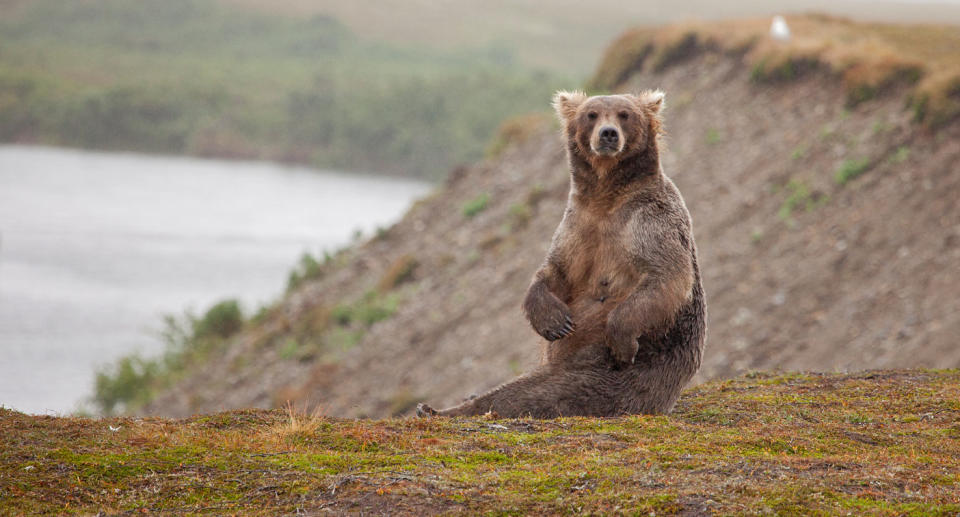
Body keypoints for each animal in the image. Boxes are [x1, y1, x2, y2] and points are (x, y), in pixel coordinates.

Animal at [418, 89, 704, 416]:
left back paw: (444, 408)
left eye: (624, 114)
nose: (608, 134)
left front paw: (622, 341)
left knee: (537, 392)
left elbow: (667, 277)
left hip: (613, 377)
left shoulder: (648, 222)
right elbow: (556, 271)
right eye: (591, 114)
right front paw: (554, 321)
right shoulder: (577, 225)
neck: (606, 199)